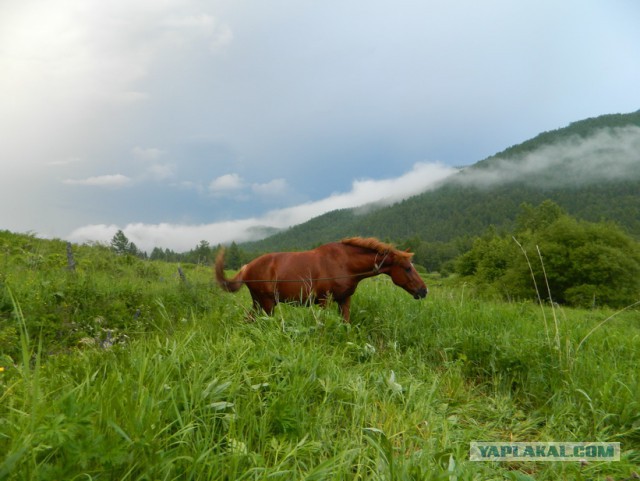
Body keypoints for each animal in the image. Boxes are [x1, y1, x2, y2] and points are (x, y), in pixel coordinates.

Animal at [215, 235, 430, 320]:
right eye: (407, 268)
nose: (423, 290)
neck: (345, 263)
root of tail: (247, 267)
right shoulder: (324, 301)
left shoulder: (344, 300)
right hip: (267, 304)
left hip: (259, 303)